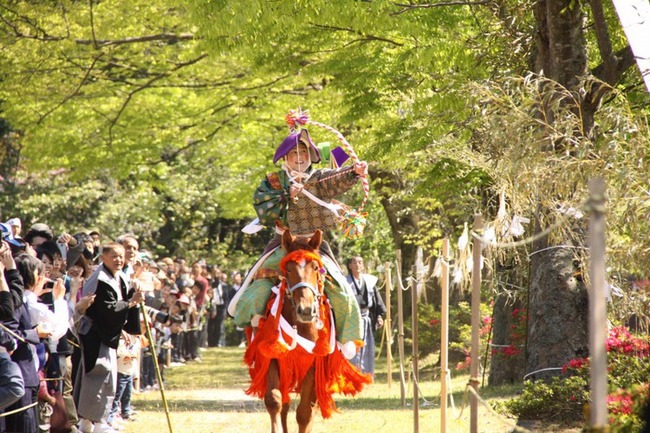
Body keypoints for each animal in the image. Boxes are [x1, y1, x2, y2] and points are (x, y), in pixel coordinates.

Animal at [242, 228, 370, 430]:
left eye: (316, 268)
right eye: (288, 268)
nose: (306, 309)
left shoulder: (313, 364)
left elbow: (304, 413)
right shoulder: (272, 356)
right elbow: (275, 400)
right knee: (285, 404)